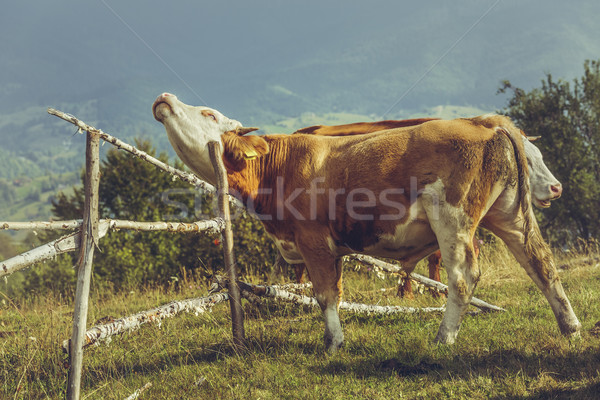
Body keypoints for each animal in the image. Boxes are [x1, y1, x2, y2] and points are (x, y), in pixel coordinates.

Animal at [152, 93, 580, 350]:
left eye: (207, 113)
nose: (164, 98)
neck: (279, 167)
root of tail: (483, 122)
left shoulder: (313, 240)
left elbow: (325, 294)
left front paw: (333, 343)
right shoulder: (328, 247)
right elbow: (333, 292)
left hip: (453, 218)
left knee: (463, 277)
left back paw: (444, 337)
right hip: (511, 215)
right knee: (541, 264)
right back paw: (570, 326)